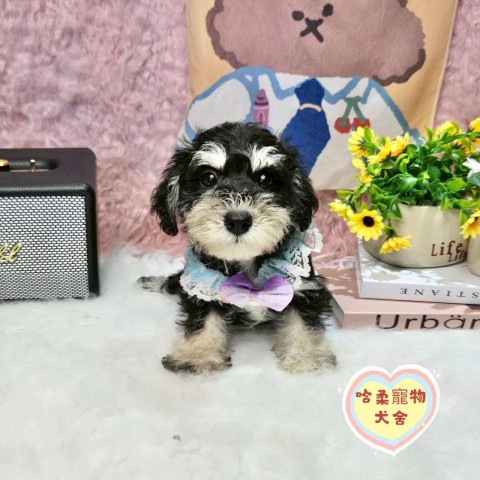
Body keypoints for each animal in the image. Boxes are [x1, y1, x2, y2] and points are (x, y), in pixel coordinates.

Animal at [139, 122, 336, 374]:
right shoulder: (202, 288)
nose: (238, 220)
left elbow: (304, 320)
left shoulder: (304, 285)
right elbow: (202, 318)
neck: (247, 261)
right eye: (209, 178)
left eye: (264, 179)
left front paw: (307, 355)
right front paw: (198, 355)